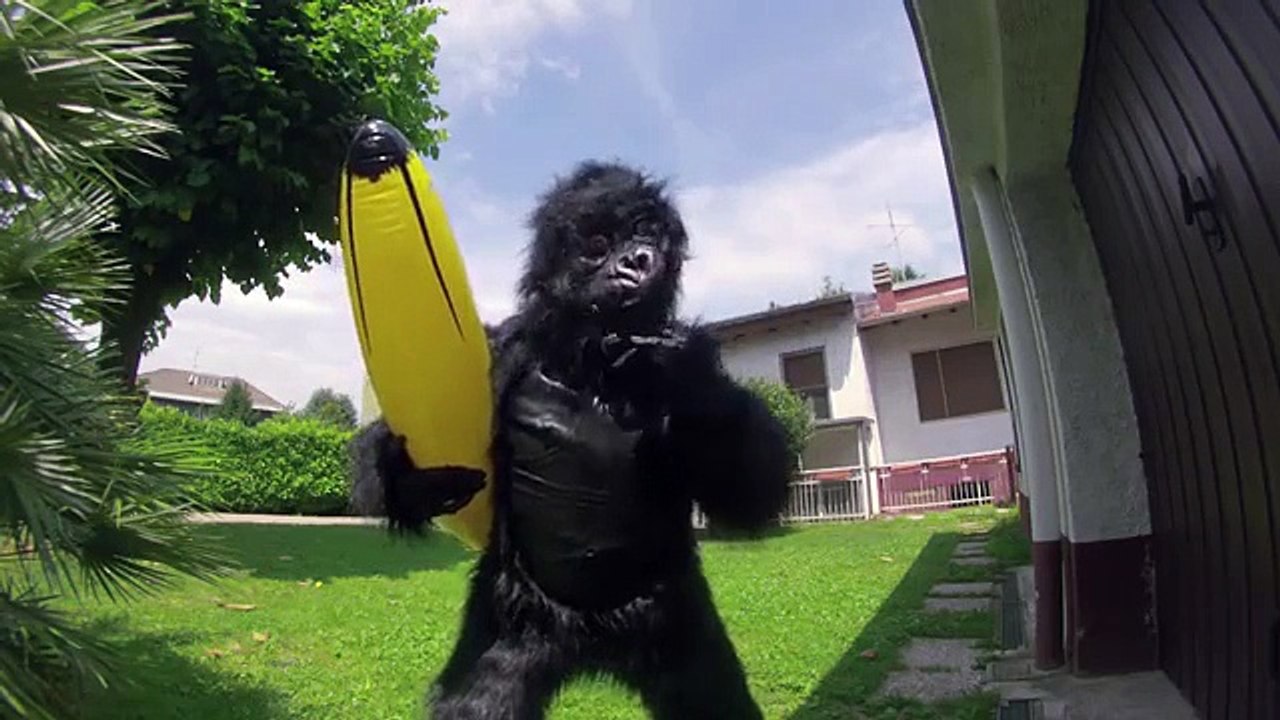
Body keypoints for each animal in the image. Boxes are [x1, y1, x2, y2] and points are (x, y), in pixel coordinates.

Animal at [351, 159, 793, 720]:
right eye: (598, 244)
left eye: (644, 231)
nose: (638, 259)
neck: (593, 365)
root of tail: (592, 644)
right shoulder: (503, 349)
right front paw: (410, 477)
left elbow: (747, 489)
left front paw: (686, 377)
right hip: (517, 622)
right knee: (480, 699)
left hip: (665, 615)